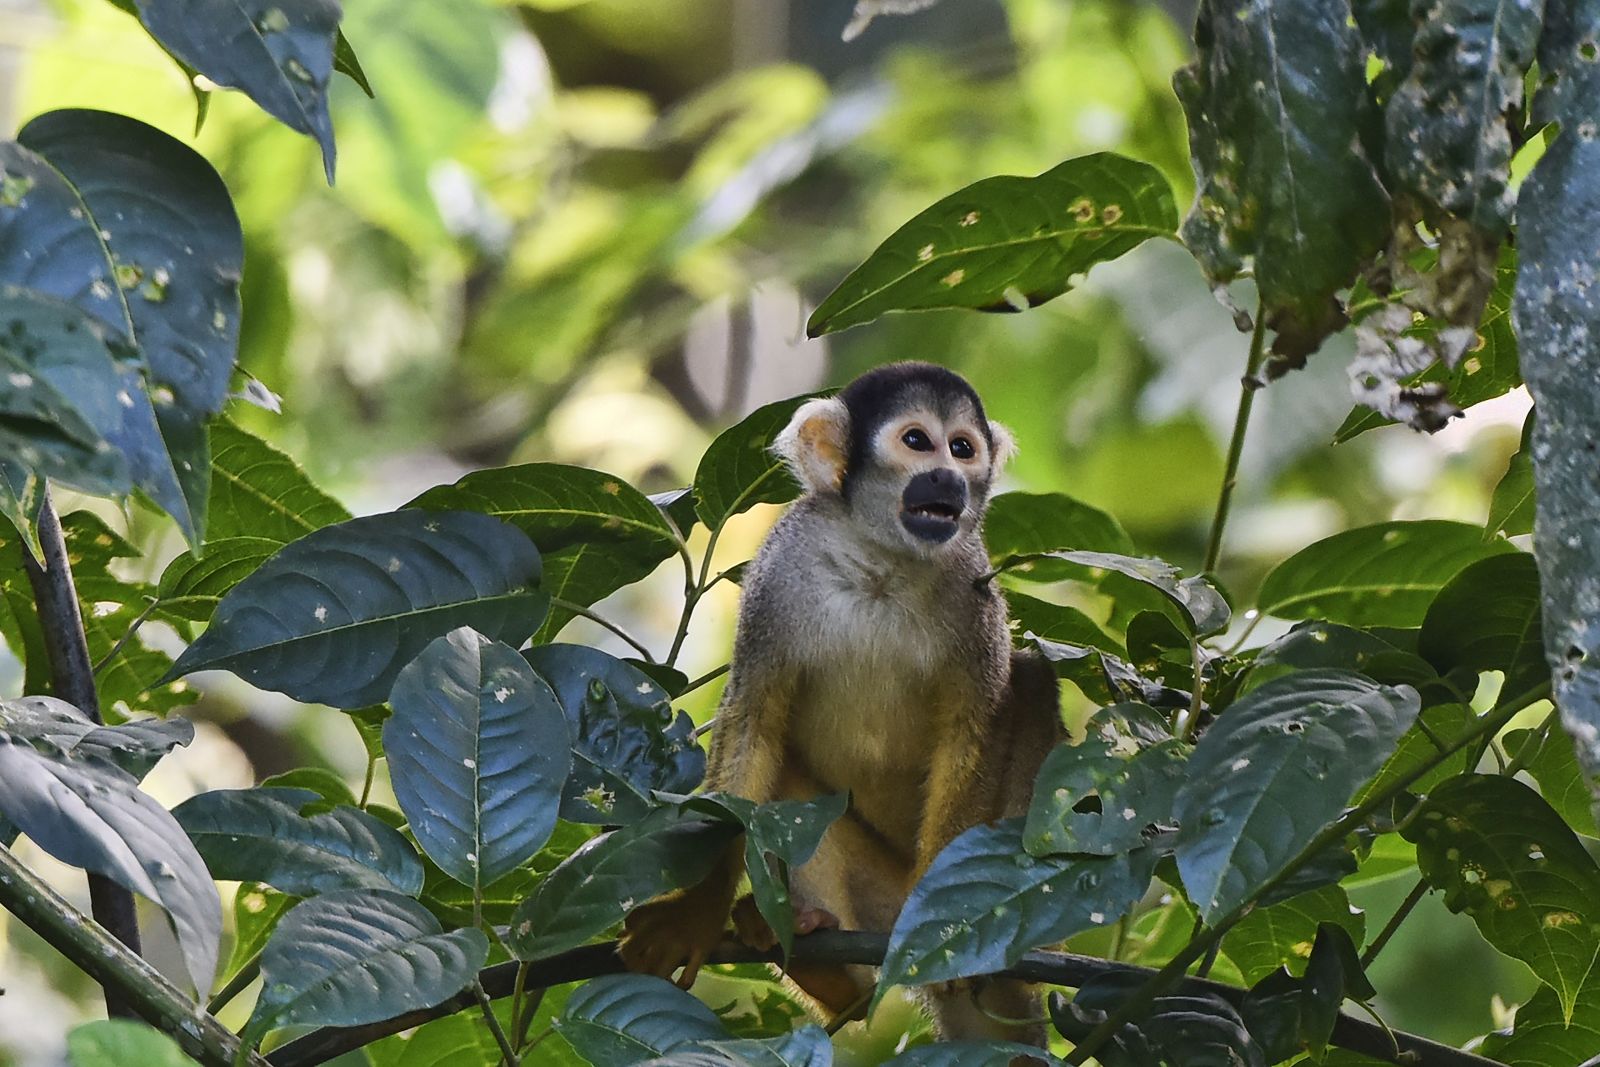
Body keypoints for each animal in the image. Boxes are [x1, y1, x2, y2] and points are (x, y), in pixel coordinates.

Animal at [620, 363, 1062, 1049]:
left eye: (963, 448)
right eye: (918, 442)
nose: (949, 478)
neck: (883, 560)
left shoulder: (974, 584)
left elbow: (976, 726)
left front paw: (947, 915)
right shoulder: (779, 570)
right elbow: (754, 723)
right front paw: (694, 913)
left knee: (1035, 682)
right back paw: (827, 970)